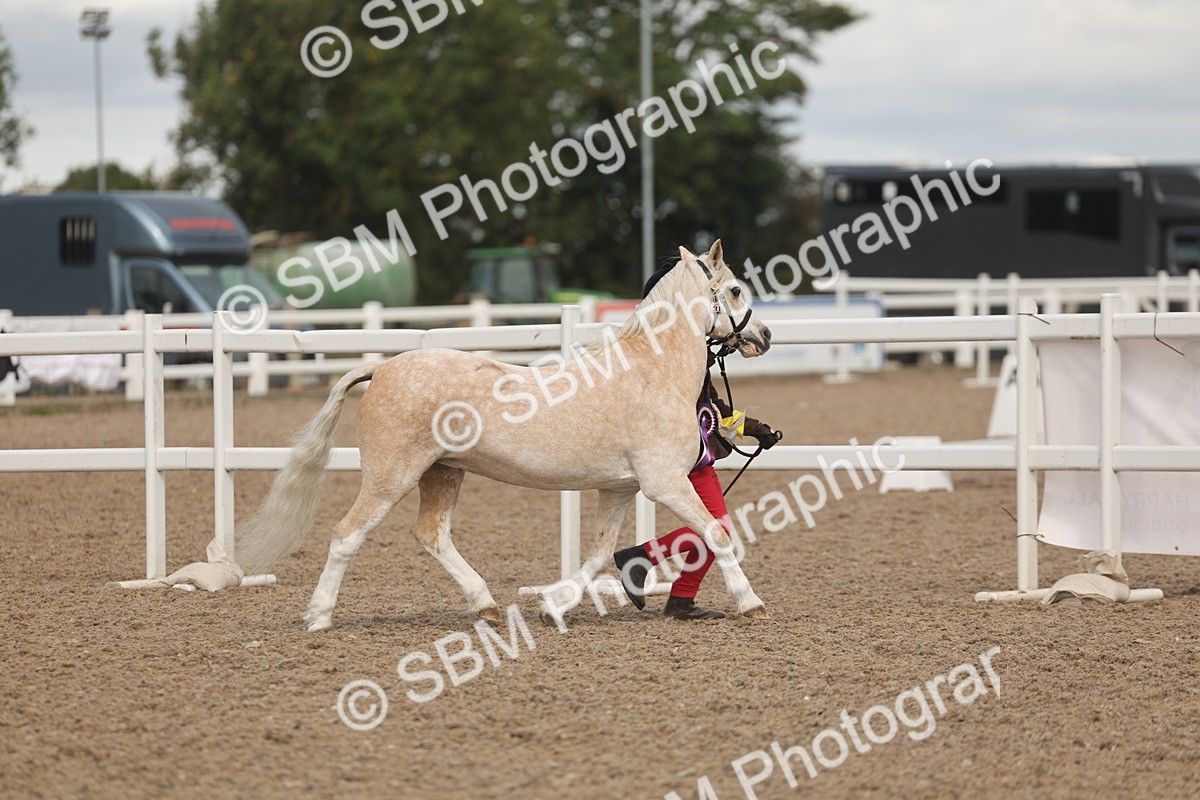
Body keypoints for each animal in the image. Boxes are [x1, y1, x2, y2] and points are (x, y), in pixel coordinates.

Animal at [234, 239, 773, 631]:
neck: (650, 370)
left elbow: (600, 553)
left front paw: (554, 606)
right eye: (736, 289)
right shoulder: (665, 483)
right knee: (347, 535)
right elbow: (715, 534)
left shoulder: (620, 488)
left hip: (442, 473)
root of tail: (381, 367)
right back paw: (319, 617)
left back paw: (486, 605)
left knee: (431, 535)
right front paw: (751, 603)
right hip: (391, 476)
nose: (764, 336)